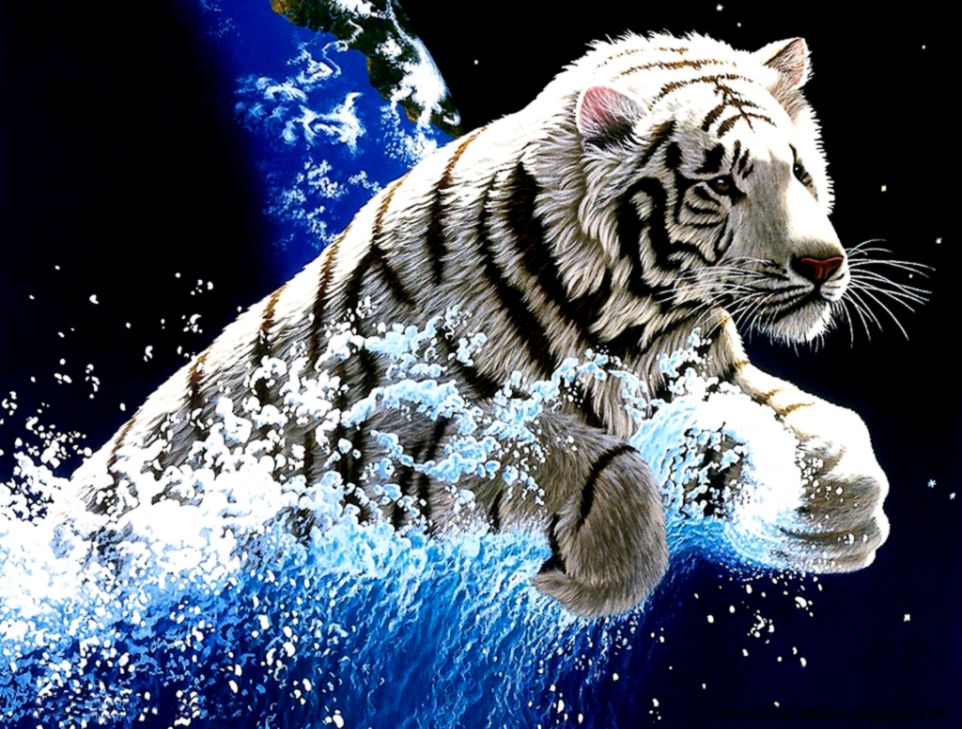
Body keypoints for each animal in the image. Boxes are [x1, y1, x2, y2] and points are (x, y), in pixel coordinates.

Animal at [72, 32, 891, 618]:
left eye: (800, 171)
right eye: (720, 183)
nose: (823, 264)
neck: (638, 322)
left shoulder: (705, 373)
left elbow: (827, 425)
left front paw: (837, 513)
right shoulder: (393, 439)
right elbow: (592, 459)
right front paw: (587, 580)